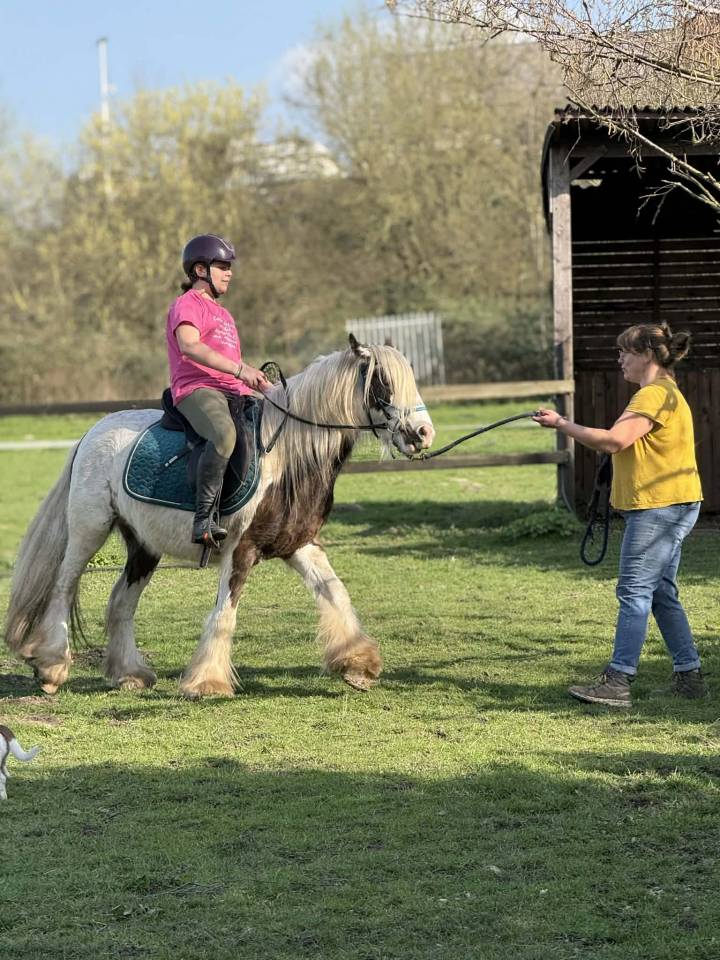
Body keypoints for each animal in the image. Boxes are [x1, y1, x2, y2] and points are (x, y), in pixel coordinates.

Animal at [4, 336, 435, 699]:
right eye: (383, 381)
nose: (423, 433)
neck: (288, 456)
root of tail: (92, 433)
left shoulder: (299, 545)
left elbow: (335, 592)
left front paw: (358, 664)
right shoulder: (240, 549)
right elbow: (225, 612)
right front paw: (207, 682)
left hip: (144, 545)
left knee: (120, 603)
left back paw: (129, 674)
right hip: (89, 529)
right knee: (63, 587)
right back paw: (51, 666)